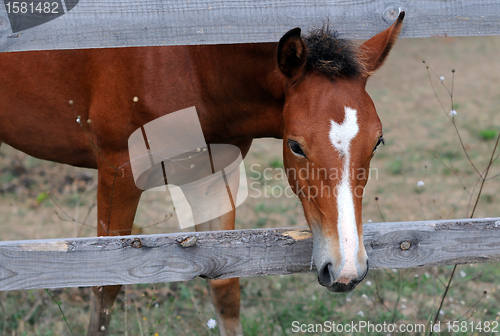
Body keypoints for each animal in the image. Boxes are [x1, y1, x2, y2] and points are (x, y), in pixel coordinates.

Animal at [0, 12, 404, 336]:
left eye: (378, 142)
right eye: (295, 146)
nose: (346, 269)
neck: (188, 61)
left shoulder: (212, 177)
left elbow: (225, 286)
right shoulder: (118, 173)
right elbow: (107, 285)